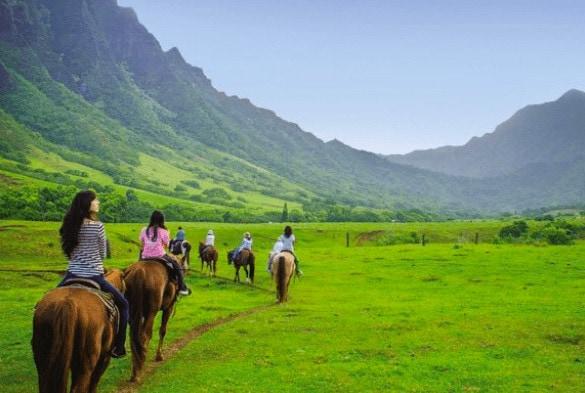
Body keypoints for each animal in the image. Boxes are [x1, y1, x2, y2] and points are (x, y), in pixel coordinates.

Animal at [125, 253, 182, 382]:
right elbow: (162, 331)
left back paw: (135, 370)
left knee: (134, 338)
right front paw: (159, 356)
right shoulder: (168, 308)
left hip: (133, 314)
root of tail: (139, 273)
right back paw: (140, 366)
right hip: (151, 312)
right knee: (145, 336)